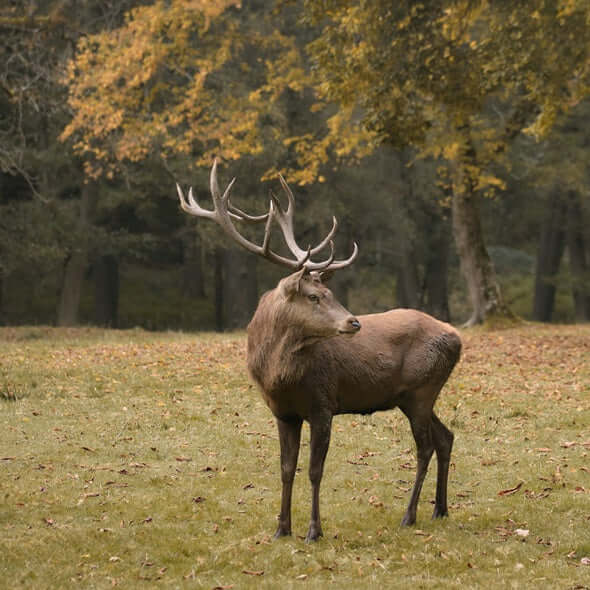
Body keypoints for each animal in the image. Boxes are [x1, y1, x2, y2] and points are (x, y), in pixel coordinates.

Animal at [176, 162, 462, 544]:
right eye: (314, 296)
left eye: (330, 293)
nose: (354, 322)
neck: (278, 376)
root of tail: (458, 338)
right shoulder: (283, 413)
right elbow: (286, 469)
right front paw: (281, 528)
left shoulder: (323, 403)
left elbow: (314, 470)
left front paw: (314, 530)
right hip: (412, 396)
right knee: (446, 436)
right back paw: (440, 509)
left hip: (421, 390)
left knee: (425, 446)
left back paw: (409, 515)